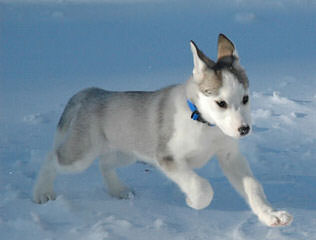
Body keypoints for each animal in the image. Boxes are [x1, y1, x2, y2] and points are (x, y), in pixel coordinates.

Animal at [33, 33, 292, 227]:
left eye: (246, 98)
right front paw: (193, 202)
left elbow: (253, 187)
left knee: (104, 163)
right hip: (81, 155)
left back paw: (118, 190)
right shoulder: (167, 157)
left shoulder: (229, 155)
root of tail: (91, 92)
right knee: (51, 157)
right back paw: (42, 193)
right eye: (221, 103)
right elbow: (201, 186)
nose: (244, 129)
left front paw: (271, 215)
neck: (203, 123)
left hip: (127, 150)